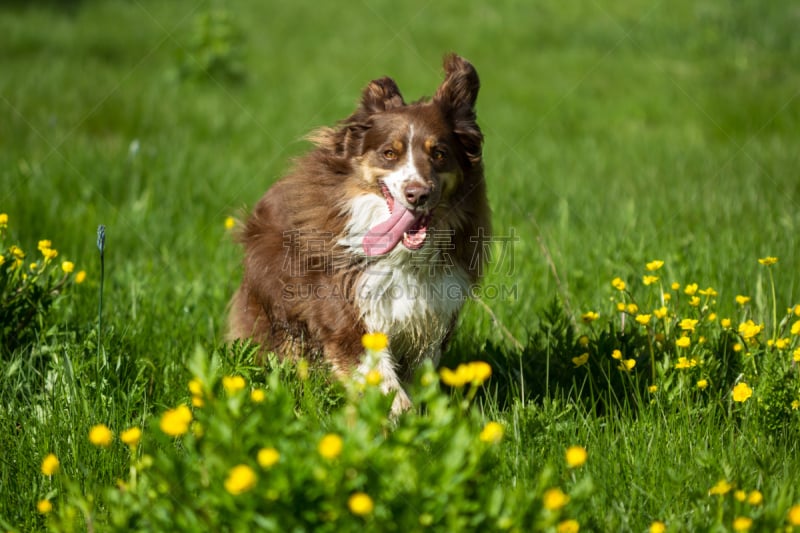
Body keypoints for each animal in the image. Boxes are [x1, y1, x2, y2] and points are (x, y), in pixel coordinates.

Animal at [225, 53, 488, 412]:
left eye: (439, 153)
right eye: (389, 153)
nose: (417, 194)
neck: (401, 256)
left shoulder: (434, 312)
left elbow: (419, 379)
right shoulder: (343, 306)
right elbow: (383, 381)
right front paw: (397, 420)